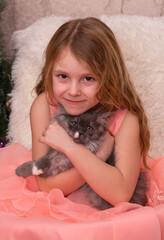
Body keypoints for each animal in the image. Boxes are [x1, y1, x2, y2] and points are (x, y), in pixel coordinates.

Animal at [15, 106, 147, 209]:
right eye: (74, 123)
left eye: (89, 128)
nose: (81, 132)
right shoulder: (55, 153)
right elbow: (43, 161)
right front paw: (23, 171)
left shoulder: (64, 161)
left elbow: (46, 164)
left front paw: (27, 171)